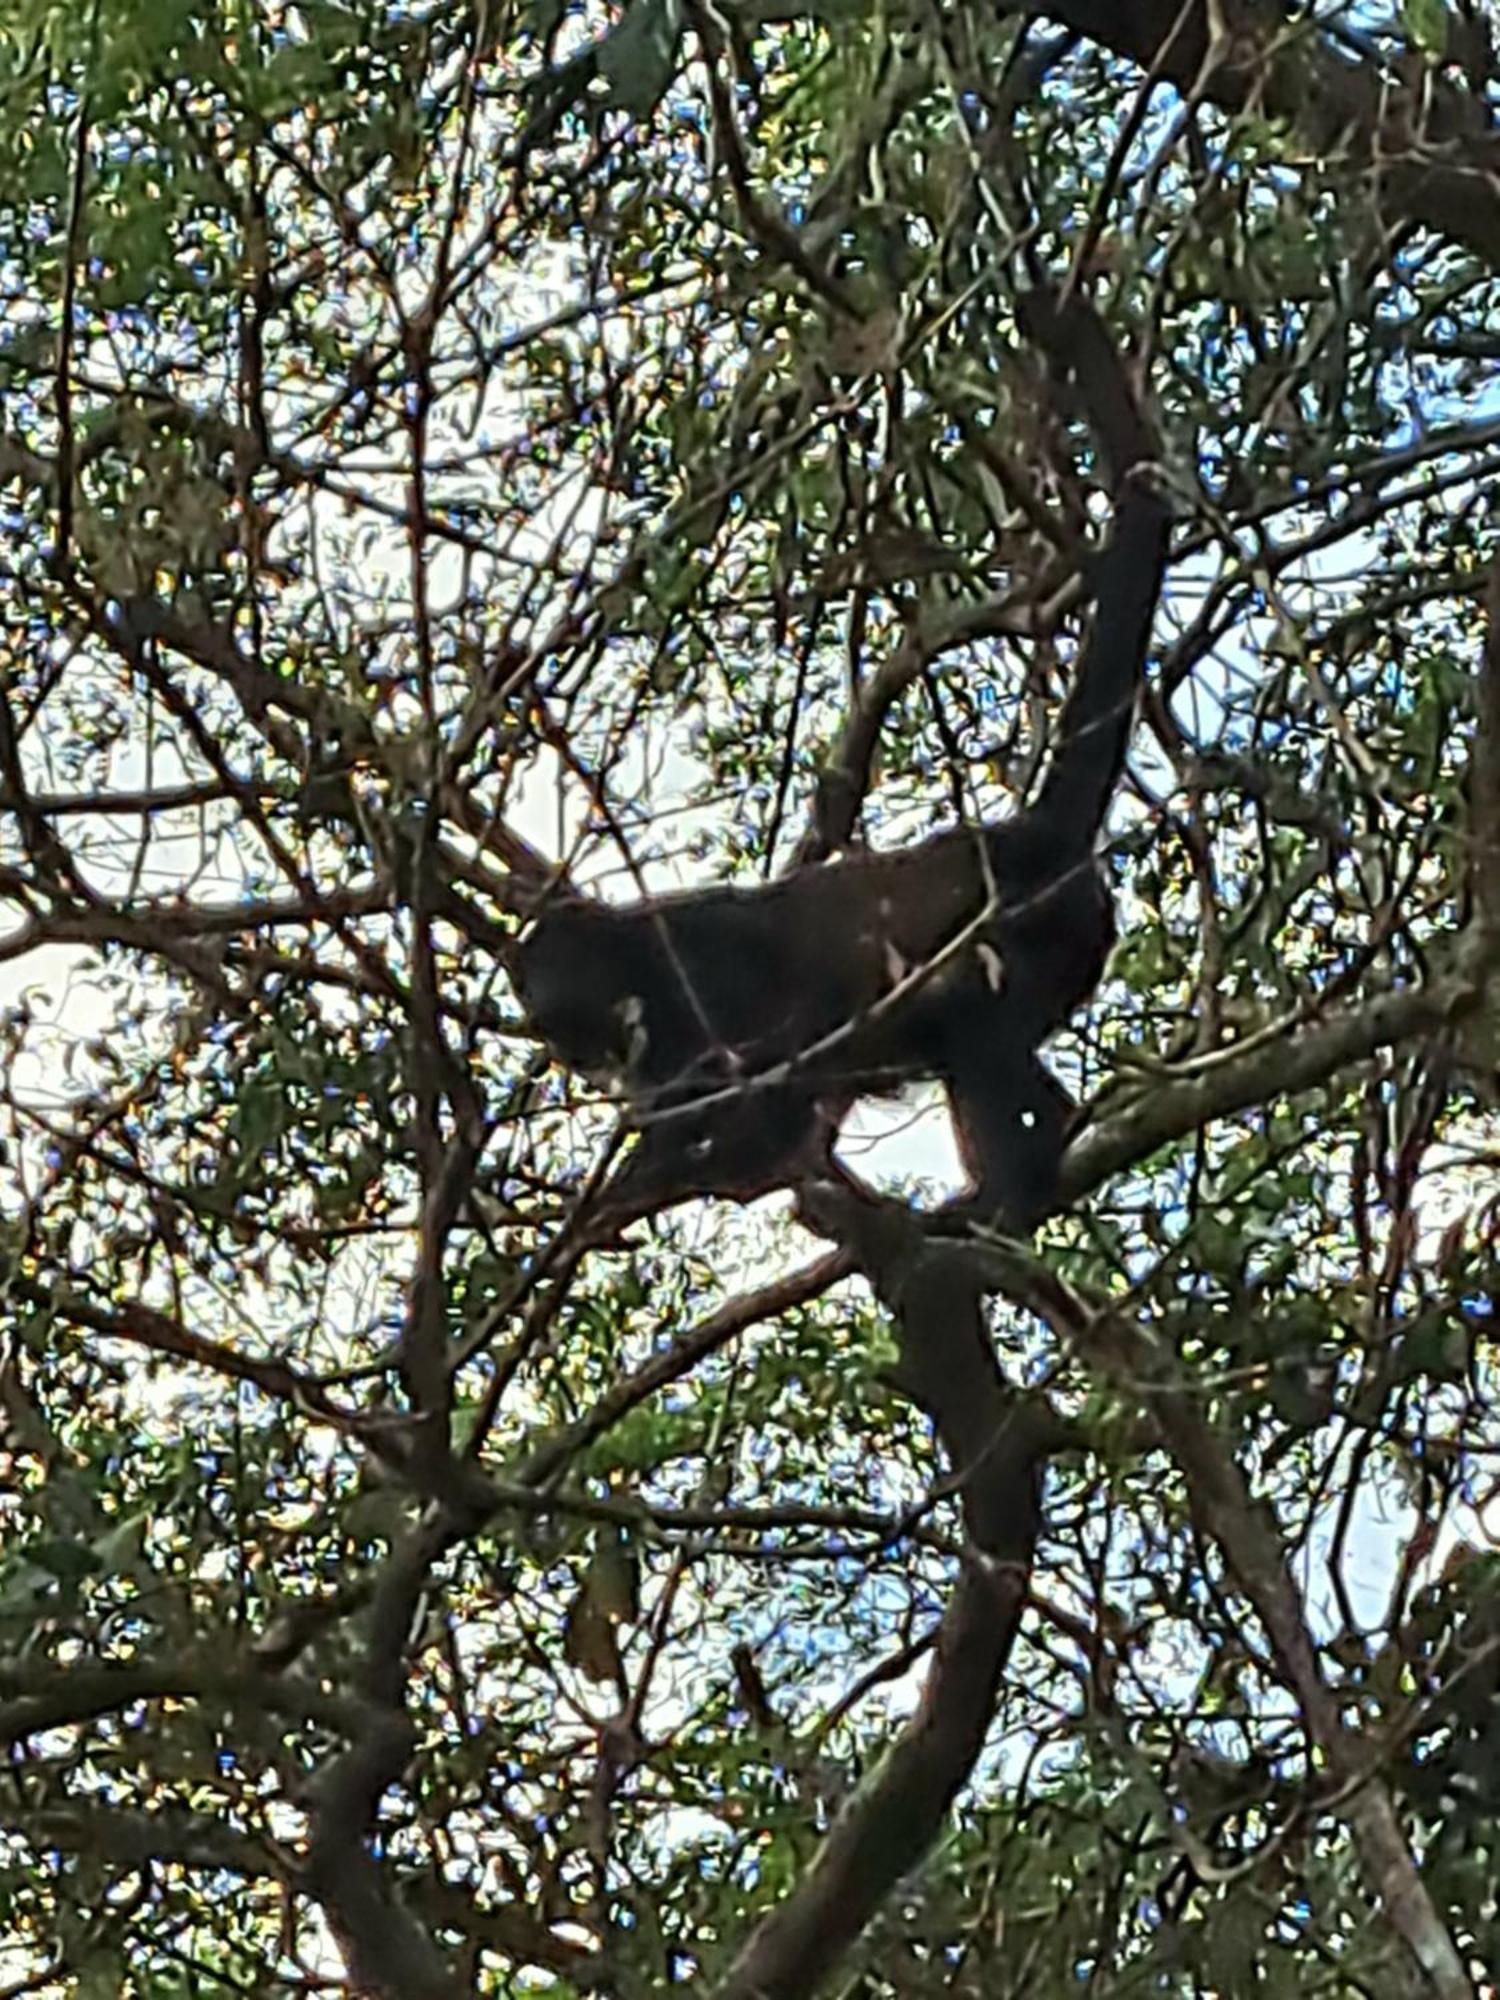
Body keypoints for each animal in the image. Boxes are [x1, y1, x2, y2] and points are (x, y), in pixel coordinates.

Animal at [516, 284, 1176, 1216]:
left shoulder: (696, 977)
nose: (553, 1033)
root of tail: (1030, 836)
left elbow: (772, 1070)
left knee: (964, 1022)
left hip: (1030, 929)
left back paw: (1010, 1187)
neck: (632, 972)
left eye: (548, 981)